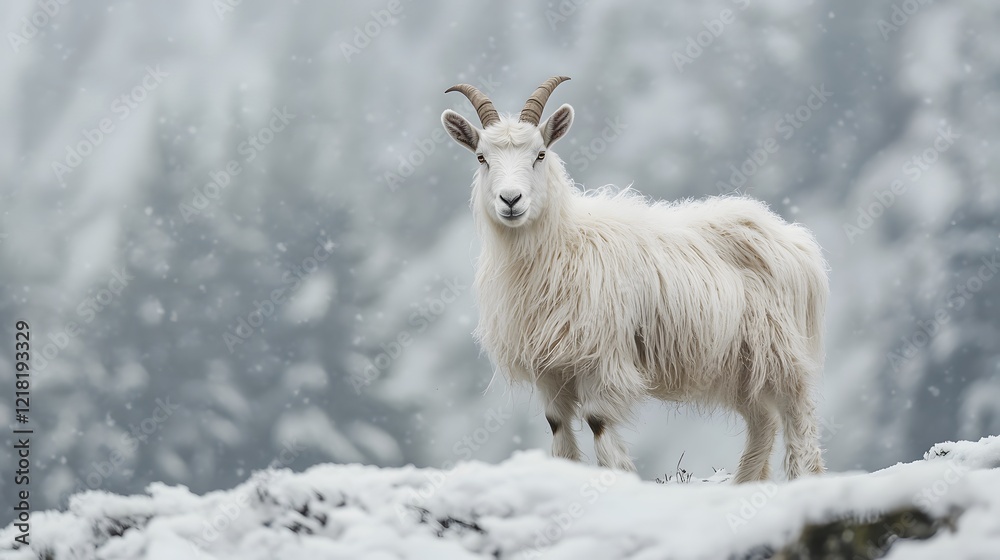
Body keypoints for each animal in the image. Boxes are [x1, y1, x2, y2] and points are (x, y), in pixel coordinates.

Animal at [441, 76, 828, 482]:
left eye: (540, 154)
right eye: (481, 158)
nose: (511, 200)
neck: (563, 244)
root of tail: (797, 241)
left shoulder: (602, 359)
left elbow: (598, 423)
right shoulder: (551, 369)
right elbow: (557, 428)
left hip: (780, 350)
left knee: (799, 417)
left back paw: (804, 477)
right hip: (739, 364)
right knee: (762, 421)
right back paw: (745, 483)